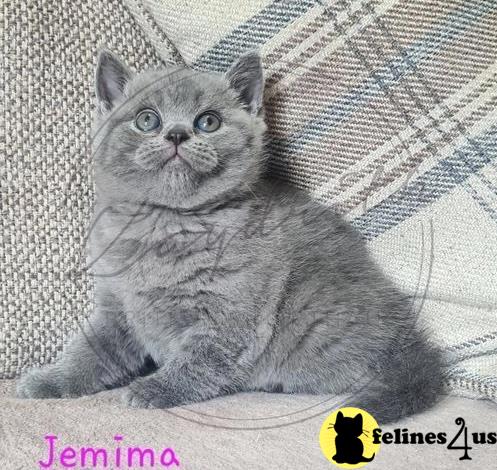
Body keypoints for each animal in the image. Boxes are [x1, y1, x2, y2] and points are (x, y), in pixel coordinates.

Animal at [16, 50, 442, 422]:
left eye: (208, 122)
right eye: (147, 120)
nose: (176, 134)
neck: (166, 224)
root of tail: (411, 341)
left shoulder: (229, 315)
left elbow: (200, 361)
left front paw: (154, 389)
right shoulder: (116, 305)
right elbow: (90, 351)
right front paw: (48, 381)